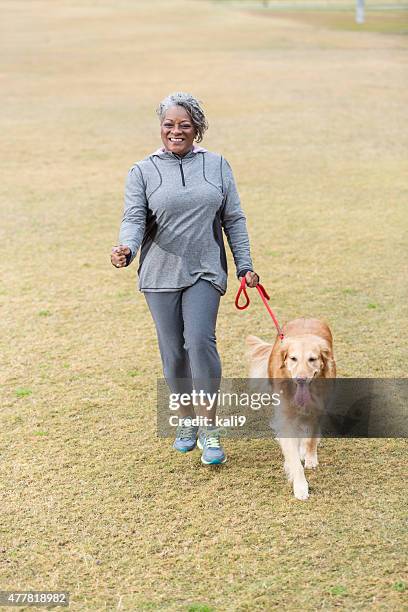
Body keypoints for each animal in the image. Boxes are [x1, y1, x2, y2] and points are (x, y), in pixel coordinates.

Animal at [245, 318, 334, 500]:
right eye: (293, 358)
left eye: (312, 359)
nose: (301, 379)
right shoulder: (286, 418)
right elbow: (293, 457)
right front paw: (300, 486)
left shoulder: (319, 410)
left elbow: (312, 438)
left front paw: (310, 457)